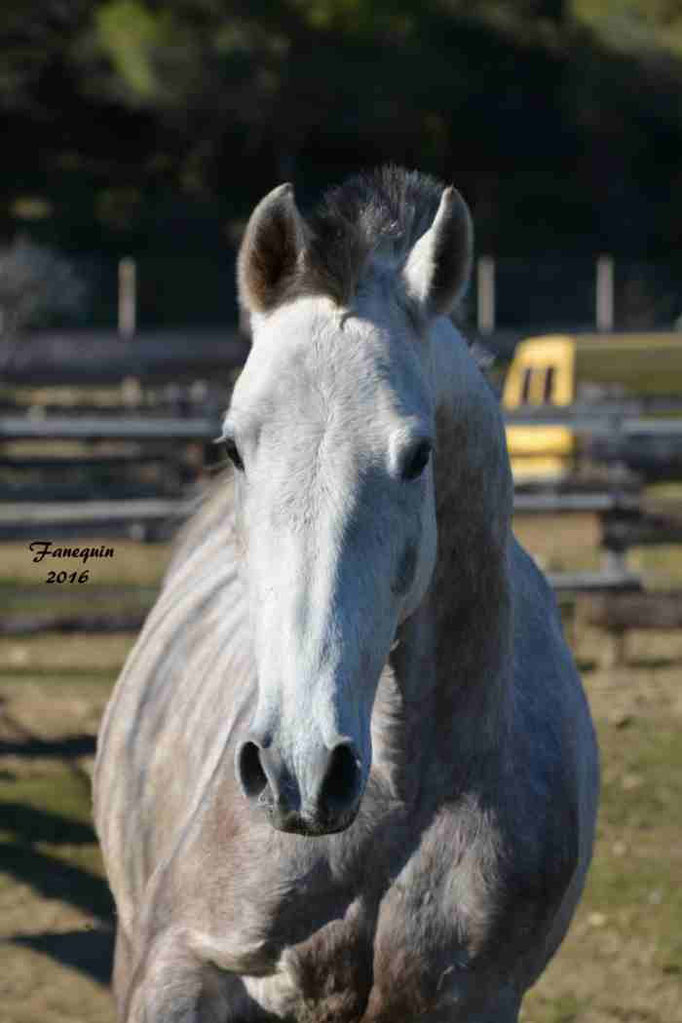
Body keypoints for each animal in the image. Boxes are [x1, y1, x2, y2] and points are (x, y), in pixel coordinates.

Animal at [94, 169, 597, 1023]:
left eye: (418, 454)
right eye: (233, 446)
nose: (299, 771)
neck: (402, 797)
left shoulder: (473, 996)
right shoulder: (179, 964)